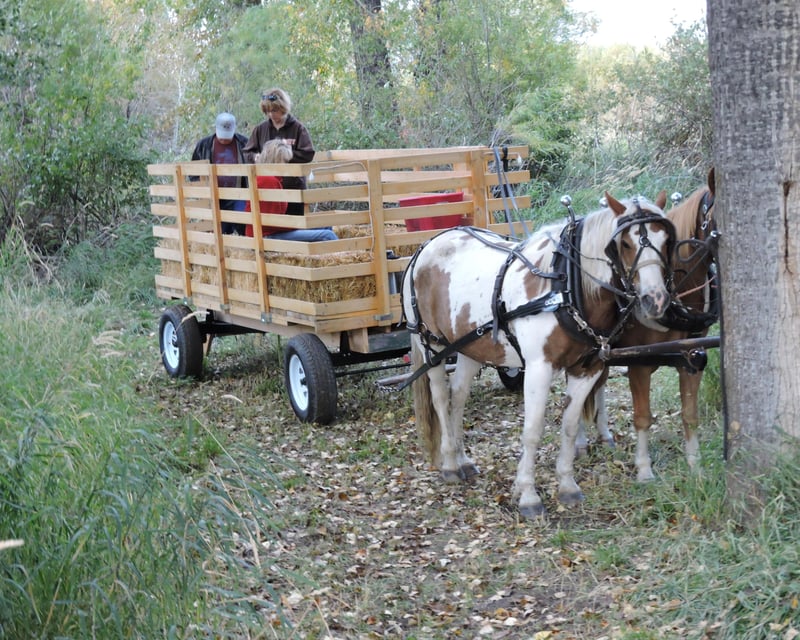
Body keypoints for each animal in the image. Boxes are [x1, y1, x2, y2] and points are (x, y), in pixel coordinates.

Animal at [401, 192, 676, 519]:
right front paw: (529, 496)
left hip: (469, 348)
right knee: (442, 399)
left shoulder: (588, 368)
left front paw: (567, 486)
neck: (564, 286)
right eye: (624, 244)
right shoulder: (538, 368)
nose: (655, 299)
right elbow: (532, 430)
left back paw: (463, 459)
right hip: (431, 344)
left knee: (458, 398)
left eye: (666, 240)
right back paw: (451, 465)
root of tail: (428, 246)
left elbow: (569, 426)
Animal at [577, 168, 718, 481]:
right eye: (625, 245)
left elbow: (690, 414)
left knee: (597, 385)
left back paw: (604, 435)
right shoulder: (639, 364)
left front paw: (695, 466)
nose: (655, 300)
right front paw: (644, 470)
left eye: (667, 241)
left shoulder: (692, 357)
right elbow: (642, 416)